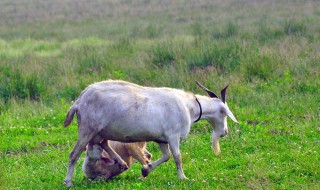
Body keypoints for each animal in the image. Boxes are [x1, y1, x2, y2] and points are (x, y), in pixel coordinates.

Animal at [62, 80, 238, 187]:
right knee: (74, 154)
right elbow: (177, 157)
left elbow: (166, 156)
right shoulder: (173, 135)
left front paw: (145, 170)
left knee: (103, 143)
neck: (190, 107)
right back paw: (68, 182)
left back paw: (121, 162)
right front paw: (183, 178)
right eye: (223, 113)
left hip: (101, 131)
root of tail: (79, 101)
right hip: (87, 129)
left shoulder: (161, 139)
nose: (225, 132)